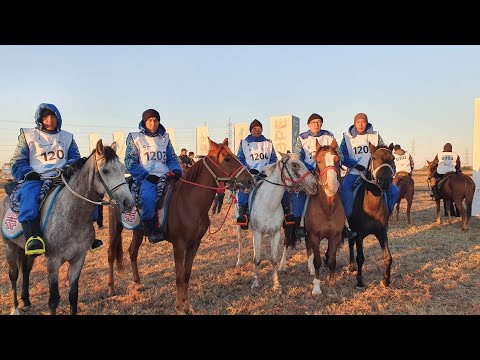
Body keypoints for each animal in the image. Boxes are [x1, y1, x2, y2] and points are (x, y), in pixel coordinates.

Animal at [1, 141, 135, 316]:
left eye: (122, 168)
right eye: (105, 170)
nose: (128, 202)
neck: (72, 214)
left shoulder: (78, 259)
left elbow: (73, 296)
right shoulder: (53, 262)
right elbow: (53, 300)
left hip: (28, 250)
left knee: (26, 268)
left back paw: (27, 300)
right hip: (10, 246)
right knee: (14, 275)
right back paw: (15, 307)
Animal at [106, 138, 253, 316]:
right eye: (227, 159)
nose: (250, 180)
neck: (189, 201)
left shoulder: (194, 244)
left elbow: (187, 274)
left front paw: (188, 305)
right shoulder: (179, 244)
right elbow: (179, 276)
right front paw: (180, 308)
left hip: (138, 232)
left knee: (132, 252)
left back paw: (138, 283)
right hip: (115, 229)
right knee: (111, 254)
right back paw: (111, 289)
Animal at [233, 152, 316, 292]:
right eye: (295, 165)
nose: (315, 184)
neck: (269, 204)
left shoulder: (276, 233)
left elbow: (273, 259)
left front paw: (276, 284)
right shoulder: (257, 233)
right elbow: (257, 259)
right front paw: (255, 283)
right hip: (240, 227)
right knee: (240, 242)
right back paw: (239, 262)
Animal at [300, 138, 344, 296]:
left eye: (337, 160)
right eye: (318, 161)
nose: (331, 185)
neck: (327, 209)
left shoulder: (335, 236)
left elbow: (331, 260)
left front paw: (331, 287)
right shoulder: (314, 235)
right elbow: (317, 261)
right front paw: (317, 288)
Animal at [346, 143, 396, 290]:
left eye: (393, 158)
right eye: (374, 158)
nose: (385, 181)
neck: (372, 206)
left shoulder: (382, 232)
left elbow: (388, 257)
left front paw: (386, 280)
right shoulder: (359, 234)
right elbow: (361, 257)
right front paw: (360, 282)